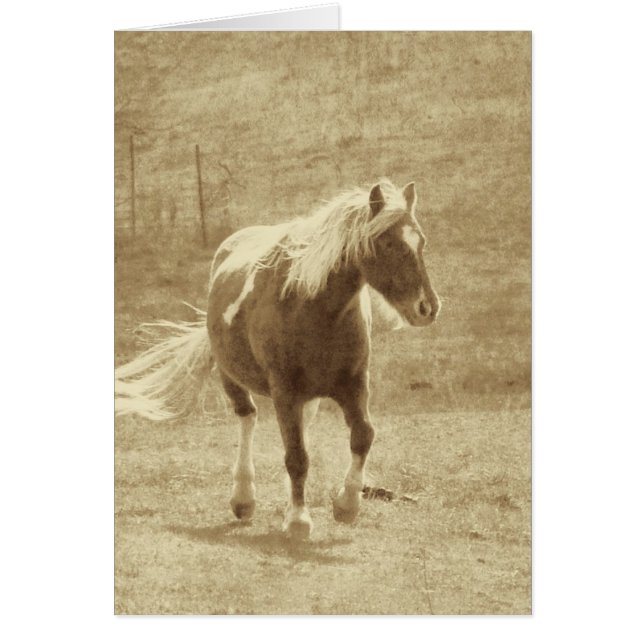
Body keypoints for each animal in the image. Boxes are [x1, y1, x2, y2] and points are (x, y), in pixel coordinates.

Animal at [115, 179, 441, 539]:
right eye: (386, 242)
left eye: (421, 241)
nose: (427, 307)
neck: (313, 307)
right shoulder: (285, 391)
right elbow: (296, 456)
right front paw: (299, 520)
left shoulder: (353, 385)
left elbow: (362, 436)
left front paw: (346, 505)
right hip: (232, 378)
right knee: (247, 418)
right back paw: (243, 498)